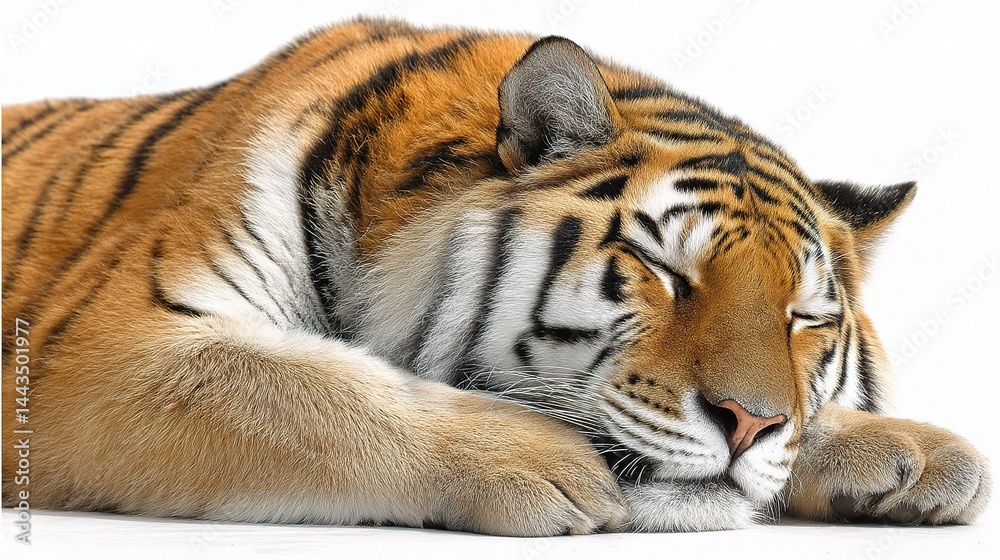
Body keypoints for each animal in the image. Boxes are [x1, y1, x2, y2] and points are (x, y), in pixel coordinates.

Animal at [1, 17, 991, 535]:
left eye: (803, 316)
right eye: (664, 270)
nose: (750, 422)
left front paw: (912, 452)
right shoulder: (104, 344)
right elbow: (298, 387)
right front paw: (542, 464)